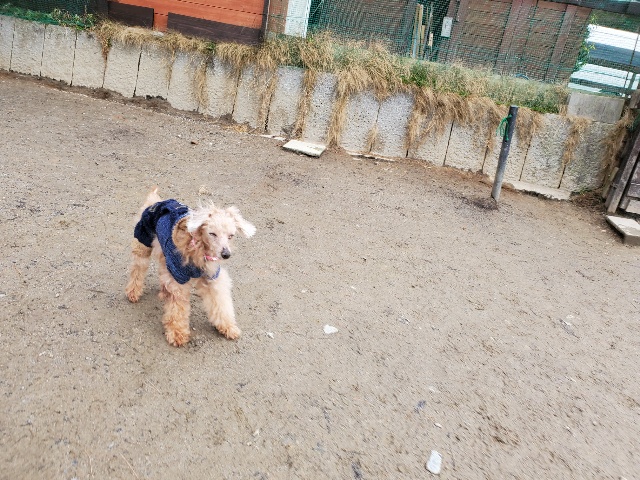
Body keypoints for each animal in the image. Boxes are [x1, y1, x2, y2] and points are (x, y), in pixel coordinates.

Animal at [125, 187, 255, 346]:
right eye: (212, 234)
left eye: (231, 236)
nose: (226, 254)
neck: (199, 249)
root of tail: (156, 201)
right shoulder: (178, 277)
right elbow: (177, 309)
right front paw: (177, 333)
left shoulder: (212, 277)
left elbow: (220, 302)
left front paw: (227, 326)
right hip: (143, 241)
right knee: (137, 269)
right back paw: (133, 292)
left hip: (164, 254)